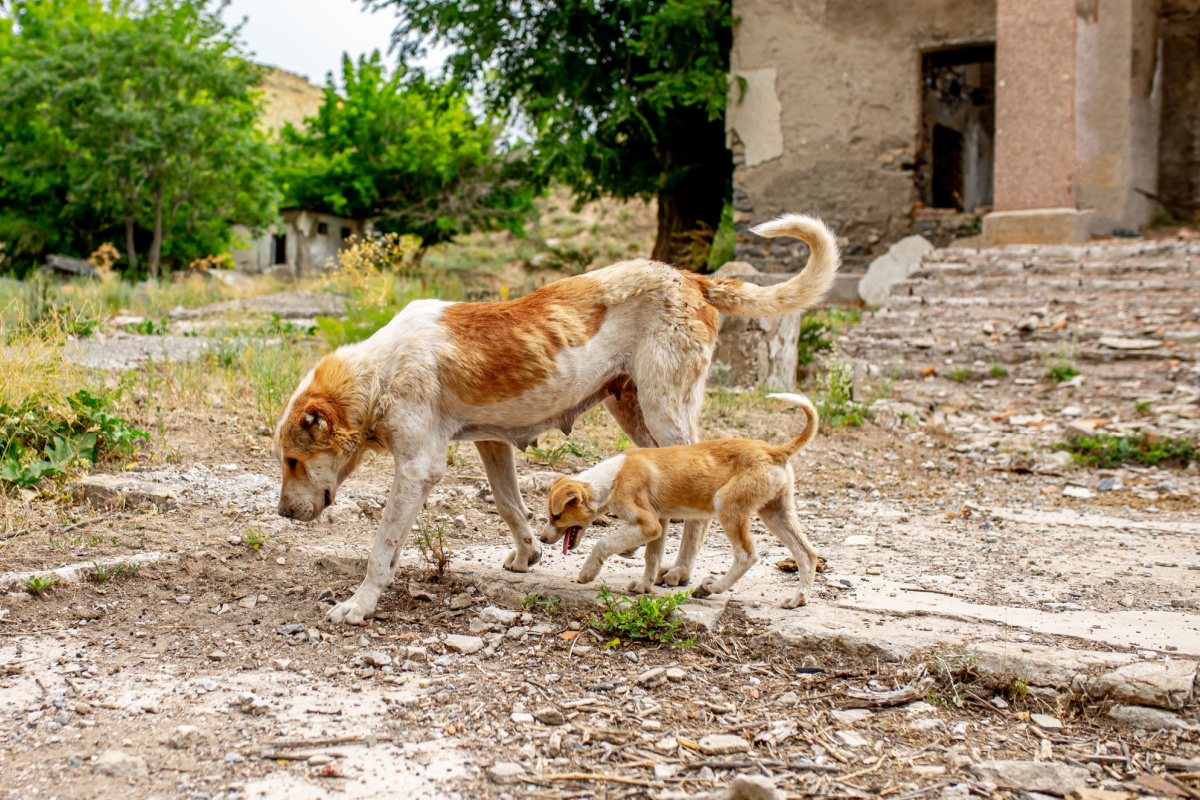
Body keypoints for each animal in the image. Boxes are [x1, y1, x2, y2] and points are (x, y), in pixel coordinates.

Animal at [274, 214, 835, 623]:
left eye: (292, 461)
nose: (281, 514)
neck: (381, 371)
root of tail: (692, 277)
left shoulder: (417, 469)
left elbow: (382, 547)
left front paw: (360, 604)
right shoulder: (491, 442)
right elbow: (509, 505)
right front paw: (527, 555)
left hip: (663, 406)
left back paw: (678, 571)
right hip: (631, 410)